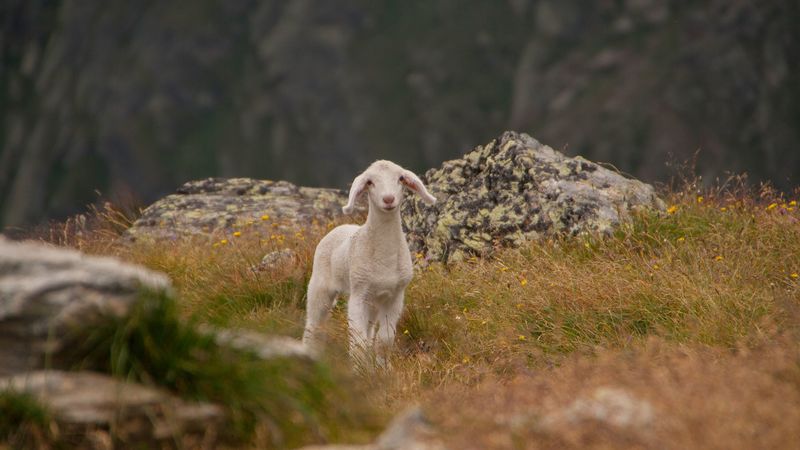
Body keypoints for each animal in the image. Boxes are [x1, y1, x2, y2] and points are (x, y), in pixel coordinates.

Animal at [302, 160, 436, 365]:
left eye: (401, 178)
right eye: (370, 182)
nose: (388, 199)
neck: (385, 256)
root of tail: (340, 227)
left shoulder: (395, 296)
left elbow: (384, 339)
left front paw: (383, 367)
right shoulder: (358, 295)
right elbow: (359, 342)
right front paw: (360, 369)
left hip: (373, 302)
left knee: (369, 330)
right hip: (320, 286)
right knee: (313, 325)